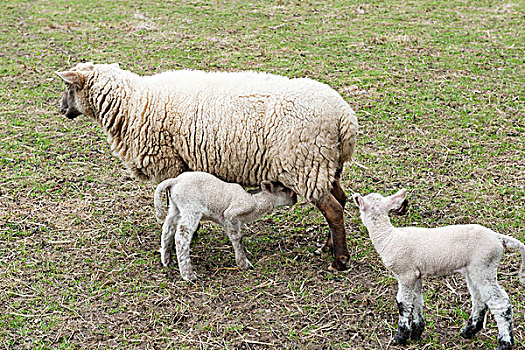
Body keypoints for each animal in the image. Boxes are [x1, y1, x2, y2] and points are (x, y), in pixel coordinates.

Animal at [57, 62, 358, 270]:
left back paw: (339, 260)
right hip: (326, 165)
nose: (62, 110)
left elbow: (174, 203)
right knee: (340, 200)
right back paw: (327, 247)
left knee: (333, 210)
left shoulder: (170, 163)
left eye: (69, 87)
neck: (133, 103)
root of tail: (345, 118)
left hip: (305, 164)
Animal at [154, 172, 296, 282]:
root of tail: (175, 181)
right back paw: (188, 274)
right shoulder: (231, 214)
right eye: (283, 190)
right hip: (191, 208)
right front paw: (244, 263)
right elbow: (237, 238)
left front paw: (246, 254)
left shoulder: (229, 221)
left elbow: (238, 237)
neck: (255, 202)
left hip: (175, 207)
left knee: (167, 230)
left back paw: (167, 261)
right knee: (181, 236)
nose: (295, 198)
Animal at [352, 189, 524, 350]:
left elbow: (403, 303)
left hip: (484, 266)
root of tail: (498, 238)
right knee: (480, 300)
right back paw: (468, 331)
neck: (388, 237)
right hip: (474, 269)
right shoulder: (416, 274)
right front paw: (416, 332)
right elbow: (416, 300)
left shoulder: (405, 273)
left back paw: (504, 343)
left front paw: (399, 337)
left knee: (500, 303)